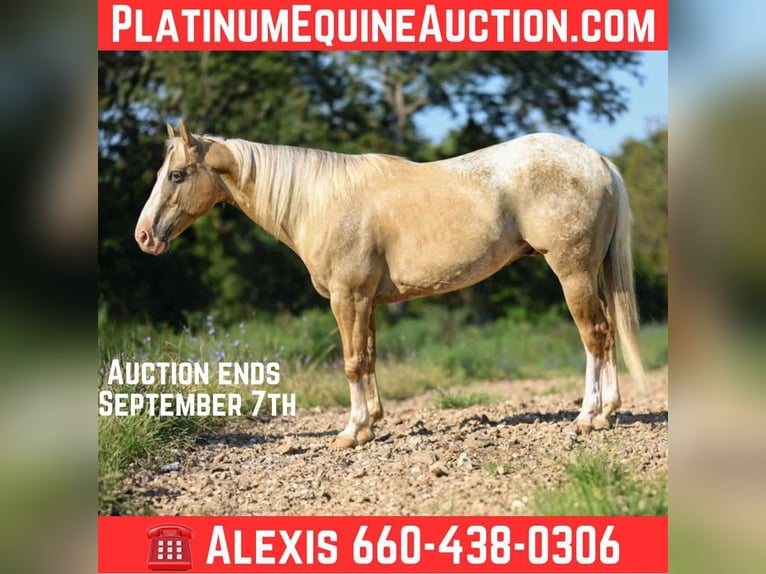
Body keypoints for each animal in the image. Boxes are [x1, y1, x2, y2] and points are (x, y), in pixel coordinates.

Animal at [135, 120, 646, 448]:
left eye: (177, 174)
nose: (144, 236)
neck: (319, 200)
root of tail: (597, 160)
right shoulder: (368, 301)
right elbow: (370, 356)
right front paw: (372, 423)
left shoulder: (347, 298)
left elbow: (351, 362)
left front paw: (351, 432)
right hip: (590, 274)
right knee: (604, 336)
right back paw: (606, 413)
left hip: (572, 271)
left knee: (594, 336)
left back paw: (589, 418)